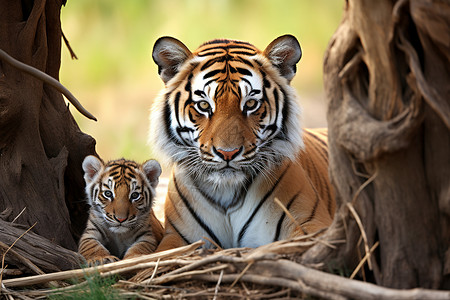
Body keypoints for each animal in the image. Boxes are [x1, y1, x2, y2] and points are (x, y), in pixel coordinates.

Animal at [149, 34, 334, 251]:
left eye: (251, 104)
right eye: (203, 105)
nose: (227, 153)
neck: (226, 192)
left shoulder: (310, 224)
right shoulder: (177, 238)